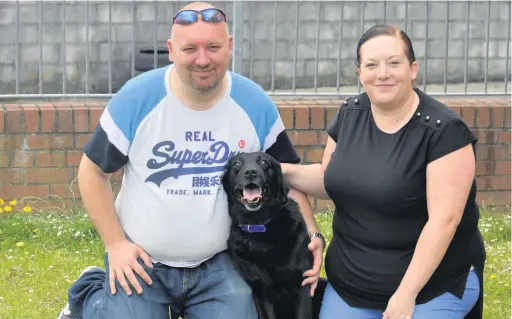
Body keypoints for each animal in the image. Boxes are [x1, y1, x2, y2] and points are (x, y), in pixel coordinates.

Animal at [222, 151, 314, 318]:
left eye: (264, 163)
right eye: (237, 164)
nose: (251, 172)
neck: (259, 225)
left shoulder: (303, 281)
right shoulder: (261, 290)